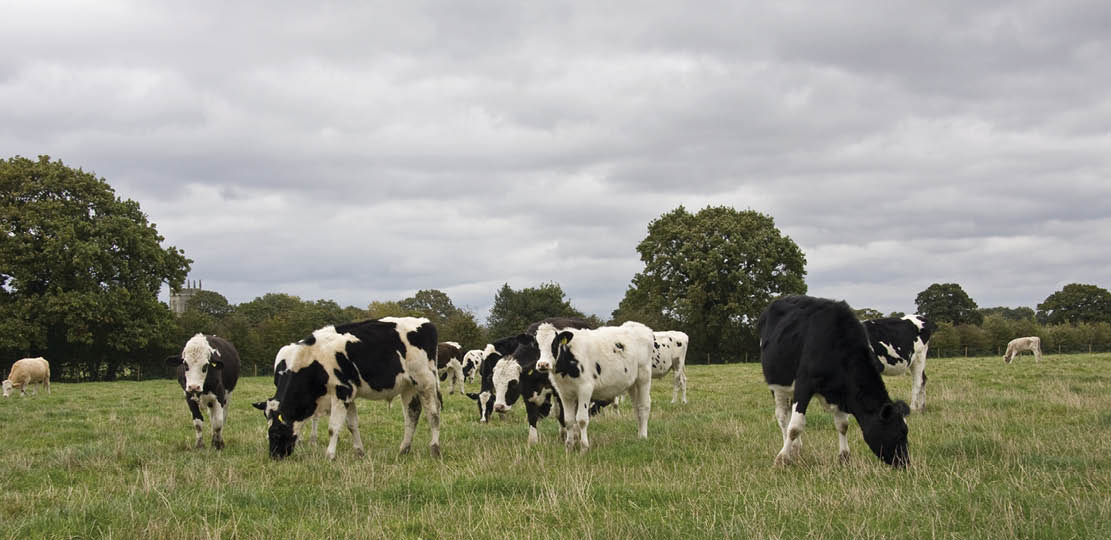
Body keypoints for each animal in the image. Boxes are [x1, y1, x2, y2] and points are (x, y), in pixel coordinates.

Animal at [265, 317, 441, 460]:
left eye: (275, 432)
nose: (274, 456)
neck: (313, 360)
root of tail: (426, 322)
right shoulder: (349, 395)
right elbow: (351, 425)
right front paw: (359, 452)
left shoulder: (342, 391)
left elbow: (333, 427)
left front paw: (330, 456)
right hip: (408, 386)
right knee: (412, 414)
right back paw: (404, 449)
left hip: (425, 382)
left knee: (433, 415)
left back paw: (435, 449)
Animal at [535, 320, 655, 452]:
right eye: (537, 345)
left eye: (554, 344)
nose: (543, 364)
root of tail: (639, 326)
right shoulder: (564, 394)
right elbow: (568, 420)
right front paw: (569, 447)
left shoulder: (585, 389)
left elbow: (582, 420)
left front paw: (584, 448)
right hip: (632, 384)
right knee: (636, 407)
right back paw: (639, 435)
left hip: (644, 377)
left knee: (644, 406)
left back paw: (643, 437)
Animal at [759, 296, 910, 468]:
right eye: (898, 433)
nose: (906, 463)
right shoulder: (804, 384)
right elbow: (795, 427)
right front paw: (782, 458)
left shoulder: (842, 391)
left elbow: (843, 425)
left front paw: (844, 457)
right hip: (777, 386)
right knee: (783, 418)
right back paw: (788, 450)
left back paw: (797, 449)